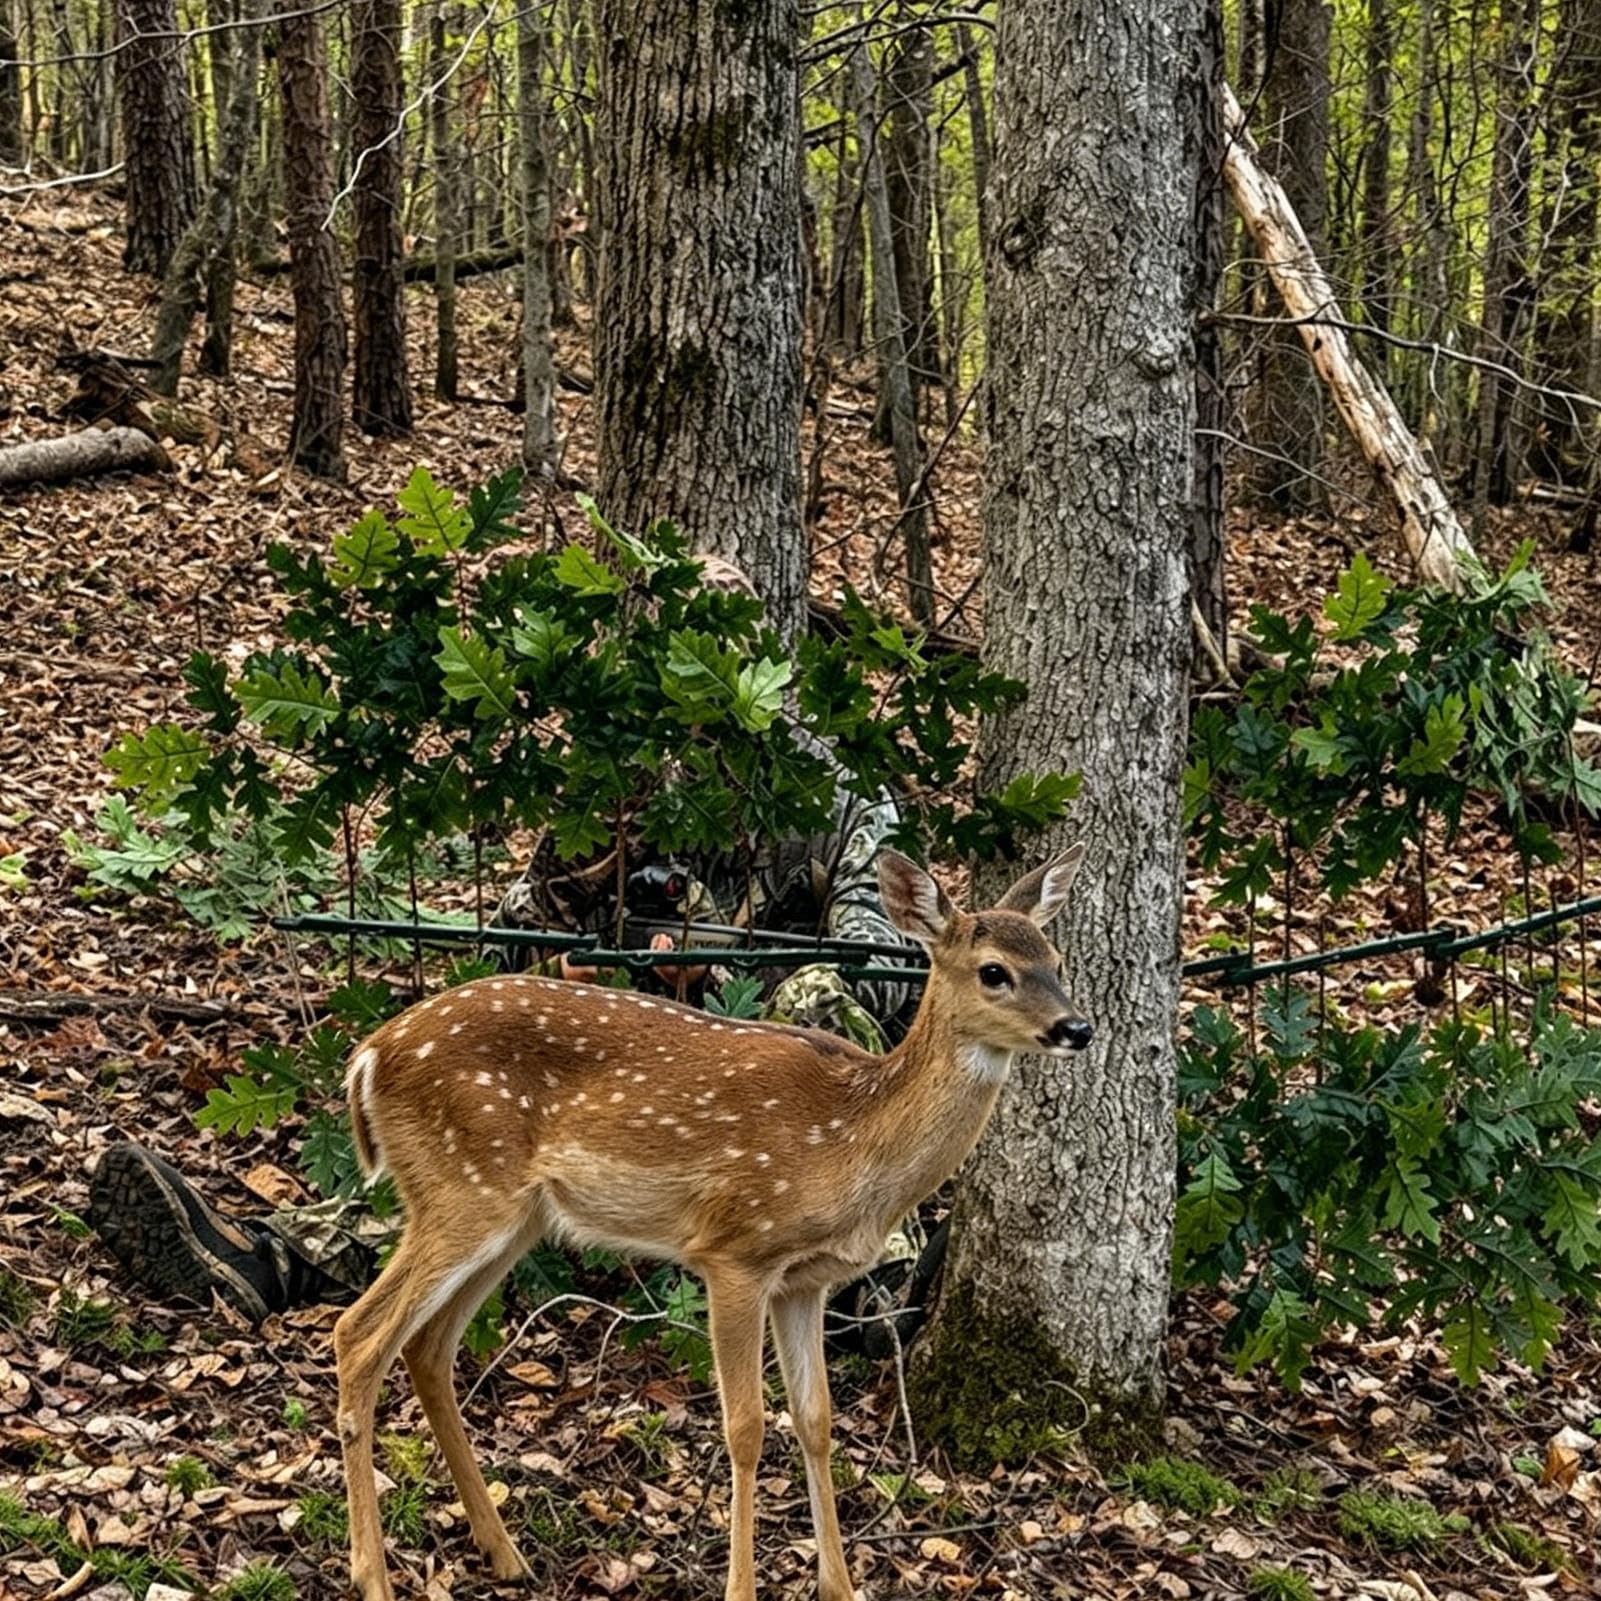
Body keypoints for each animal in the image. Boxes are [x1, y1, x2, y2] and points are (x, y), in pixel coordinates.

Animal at [334, 845, 1091, 1601]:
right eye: (993, 970)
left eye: (1056, 958)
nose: (1077, 1027)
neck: (853, 1142)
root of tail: (365, 1059)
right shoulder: (736, 1250)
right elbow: (746, 1427)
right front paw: (742, 1587)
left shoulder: (804, 1281)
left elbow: (816, 1419)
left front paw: (839, 1587)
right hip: (461, 1187)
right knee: (359, 1334)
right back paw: (373, 1575)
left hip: (512, 1216)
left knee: (427, 1347)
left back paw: (505, 1553)